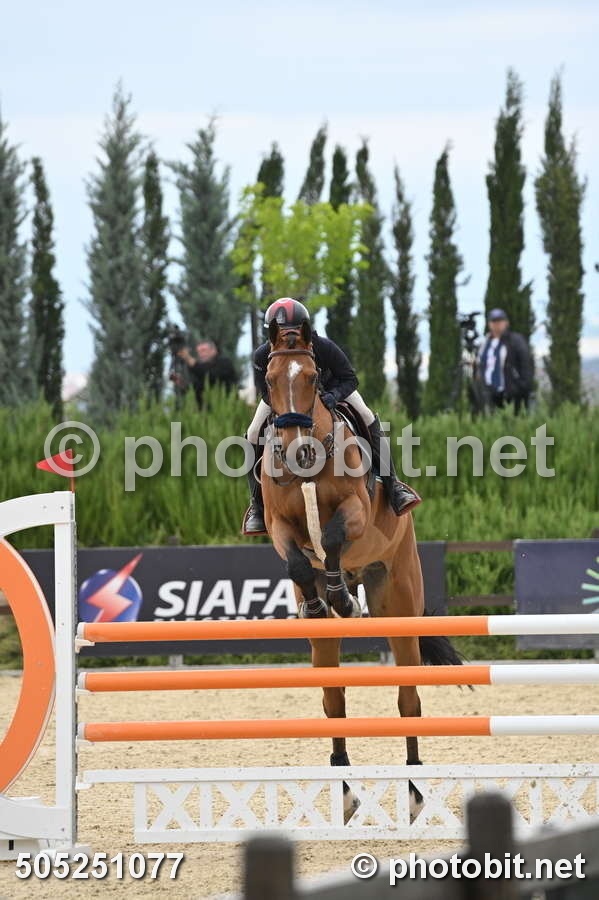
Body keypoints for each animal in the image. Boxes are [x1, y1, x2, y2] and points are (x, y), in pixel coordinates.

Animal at [260, 318, 462, 820]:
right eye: (269, 380)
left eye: (314, 377)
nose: (297, 454)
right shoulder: (278, 525)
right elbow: (298, 560)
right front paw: (320, 601)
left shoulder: (355, 510)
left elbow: (332, 536)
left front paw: (340, 598)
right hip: (326, 649)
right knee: (334, 701)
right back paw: (347, 793)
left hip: (399, 603)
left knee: (409, 699)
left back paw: (413, 795)